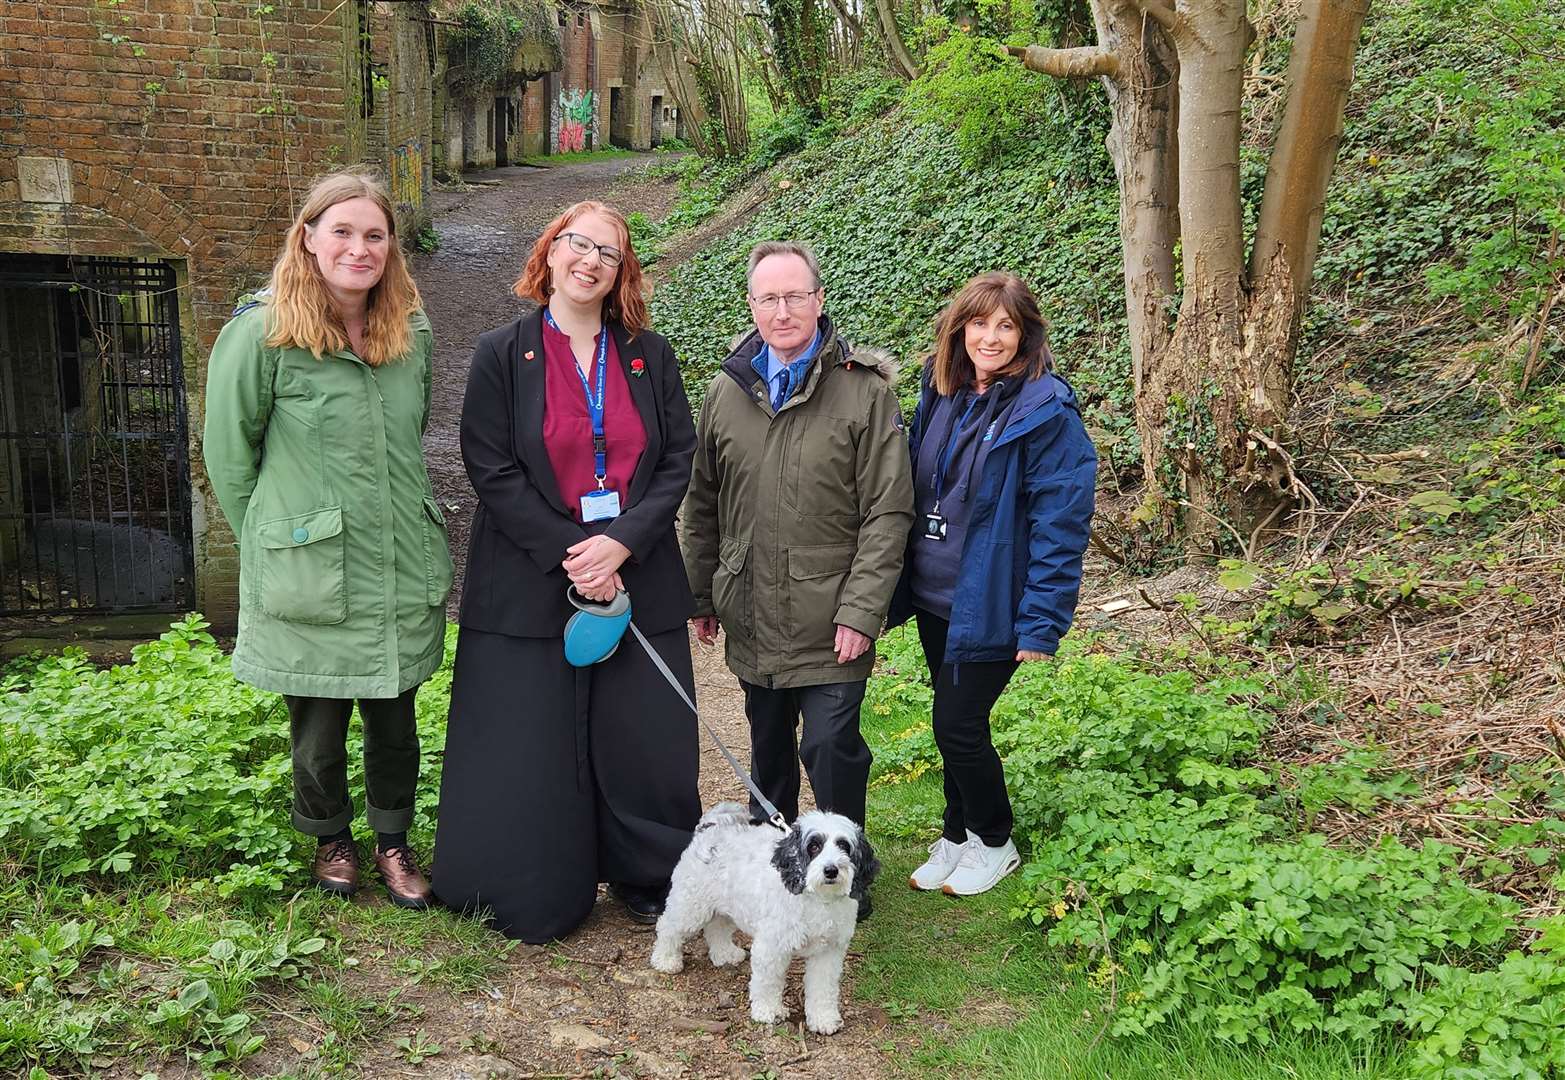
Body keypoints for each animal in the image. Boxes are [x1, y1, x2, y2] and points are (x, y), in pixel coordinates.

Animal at [651, 801, 882, 1033]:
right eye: (814, 846)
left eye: (844, 846)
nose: (831, 870)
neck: (816, 898)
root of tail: (712, 826)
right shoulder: (772, 947)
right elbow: (768, 982)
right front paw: (769, 1011)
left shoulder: (828, 953)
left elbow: (823, 988)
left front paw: (823, 1018)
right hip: (691, 906)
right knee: (668, 926)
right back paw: (665, 959)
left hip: (727, 907)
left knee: (716, 928)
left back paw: (725, 954)